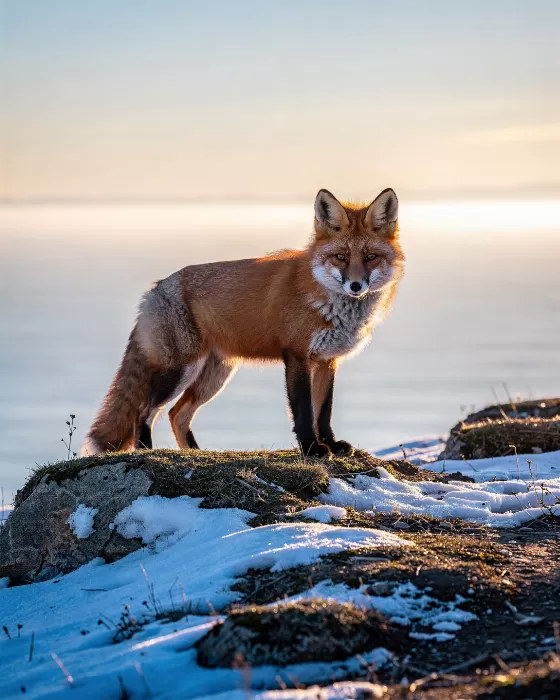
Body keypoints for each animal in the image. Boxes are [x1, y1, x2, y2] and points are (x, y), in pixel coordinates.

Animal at [82, 188, 404, 459]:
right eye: (340, 257)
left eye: (370, 257)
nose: (356, 285)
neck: (328, 301)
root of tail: (156, 288)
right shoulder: (297, 355)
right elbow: (303, 411)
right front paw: (312, 449)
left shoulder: (327, 361)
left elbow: (323, 412)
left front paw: (331, 444)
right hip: (180, 371)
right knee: (144, 410)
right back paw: (147, 451)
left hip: (213, 377)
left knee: (177, 415)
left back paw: (197, 454)